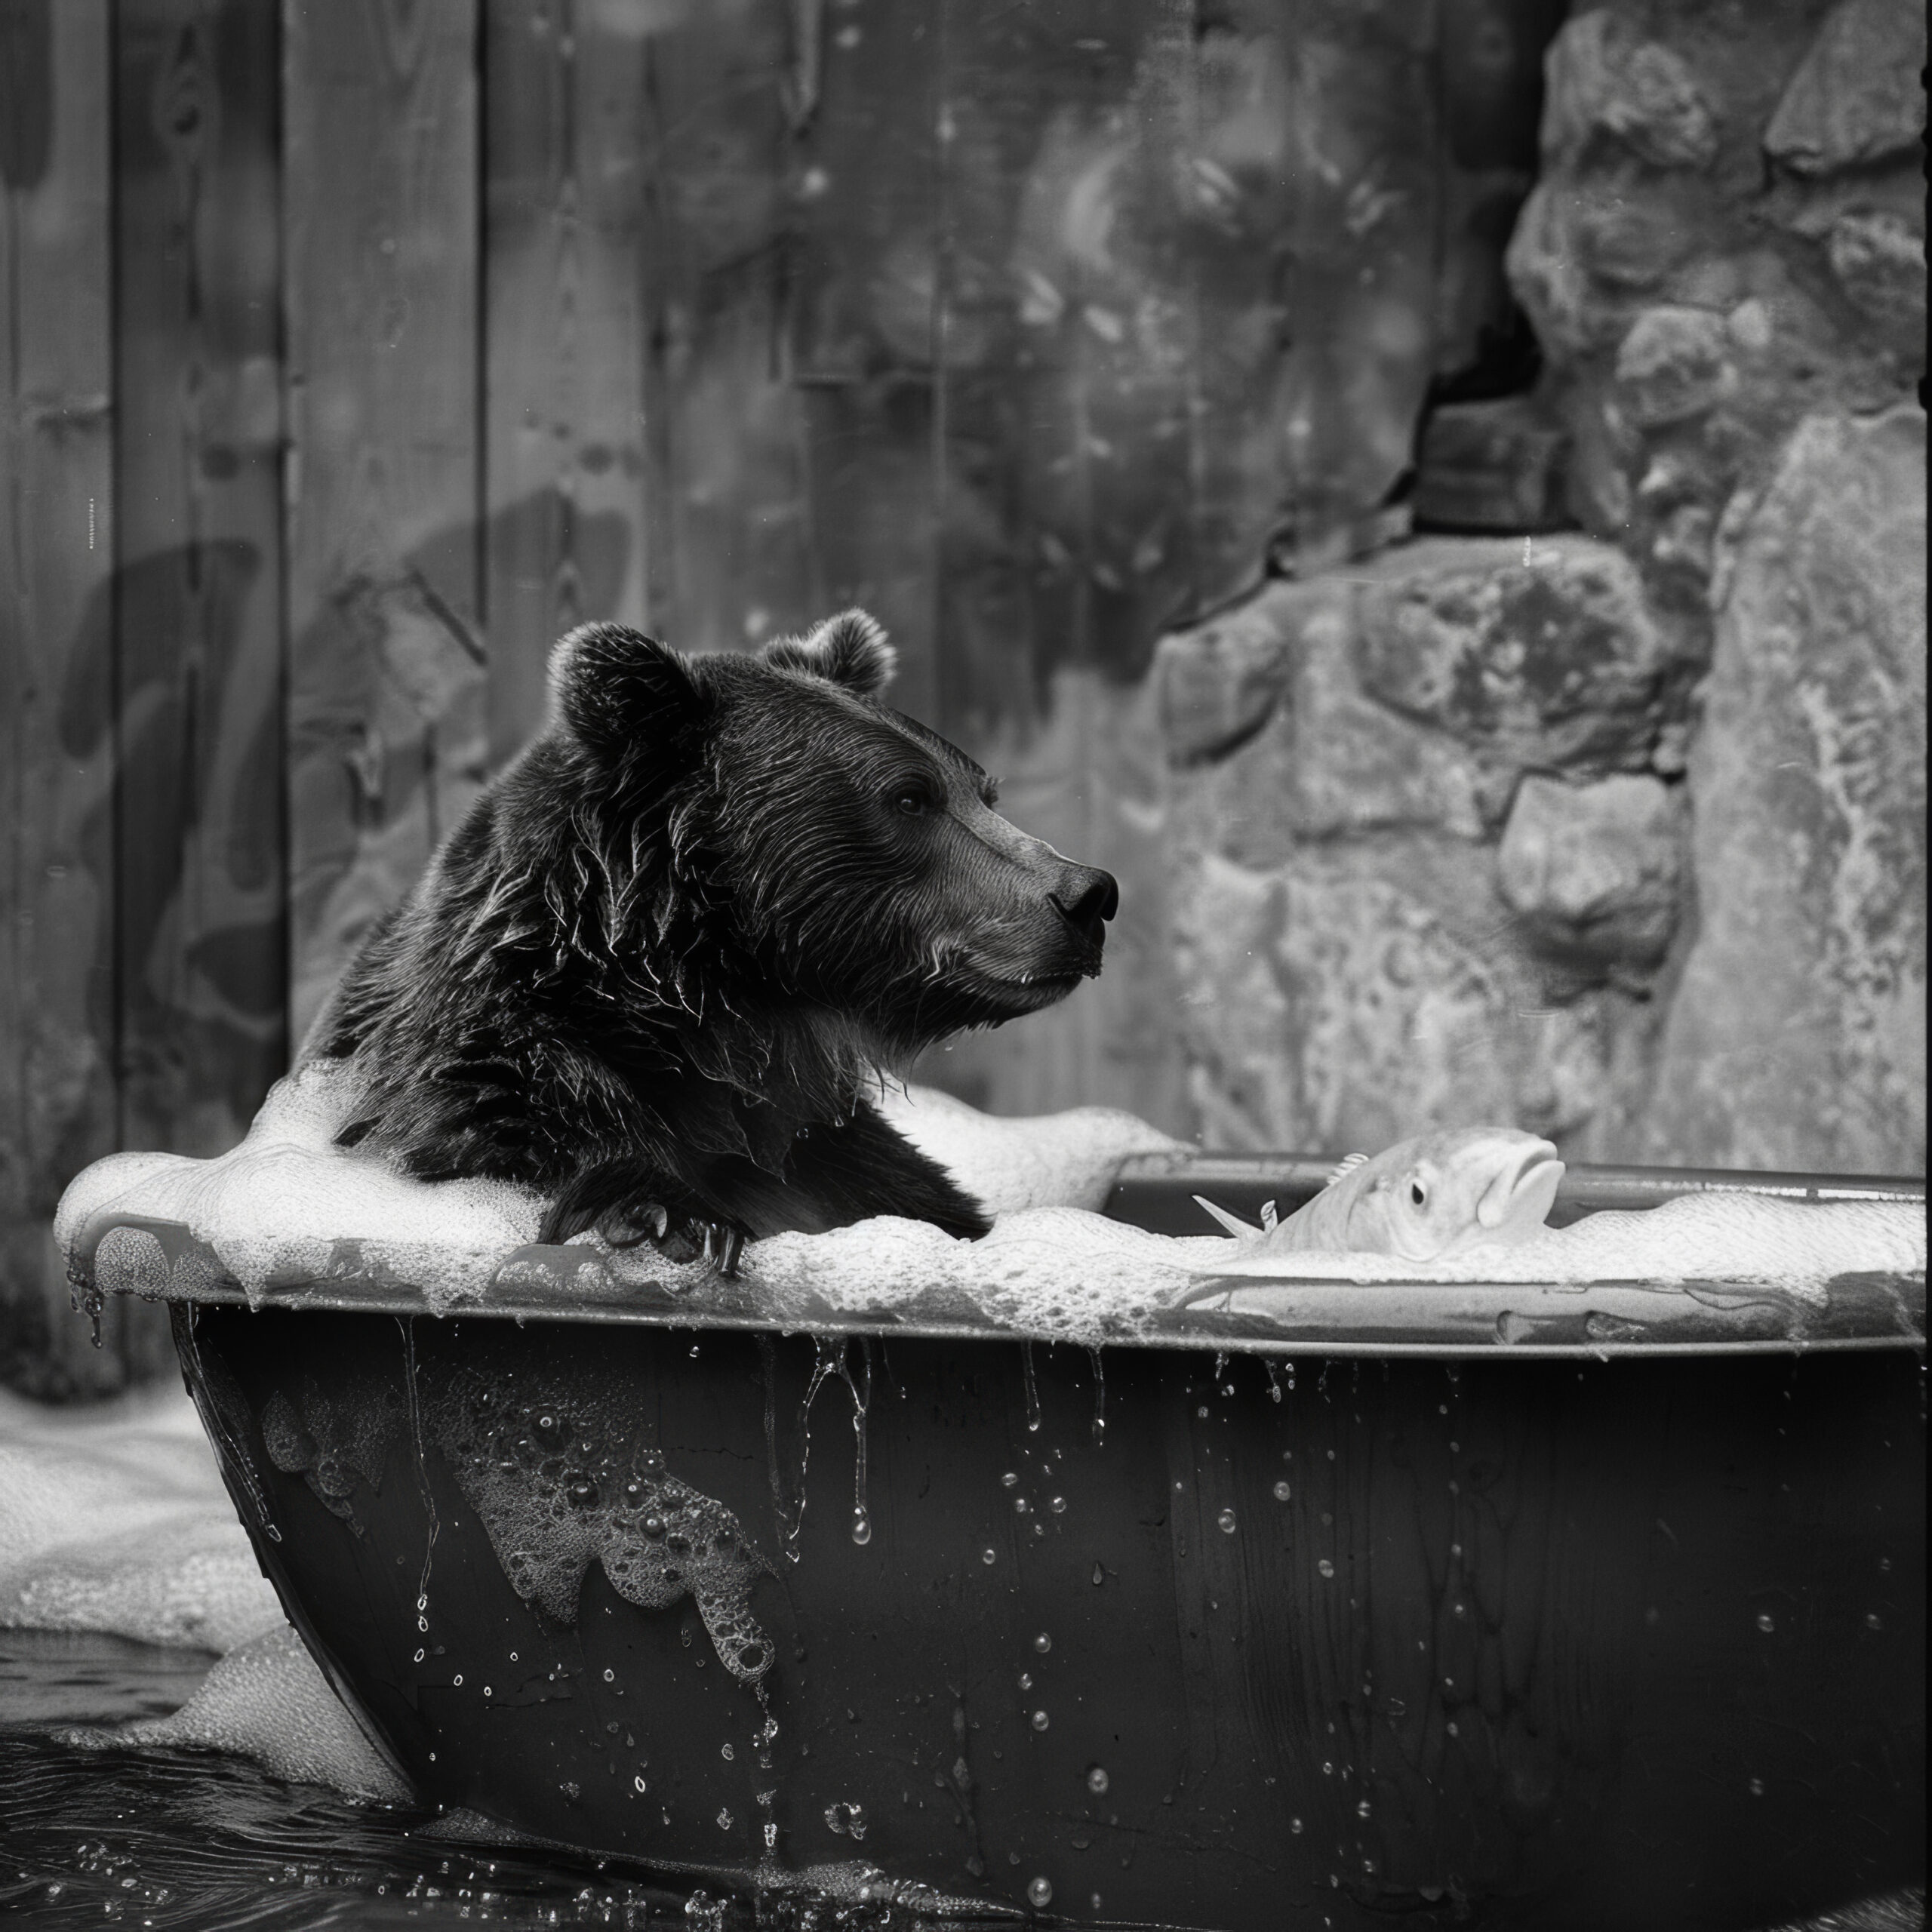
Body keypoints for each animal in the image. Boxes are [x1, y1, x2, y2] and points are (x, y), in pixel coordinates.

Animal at [304, 610, 1118, 1272]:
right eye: (910, 796)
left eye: (982, 791)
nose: (1087, 895)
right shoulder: (502, 1105)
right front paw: (671, 1220)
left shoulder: (840, 1159)